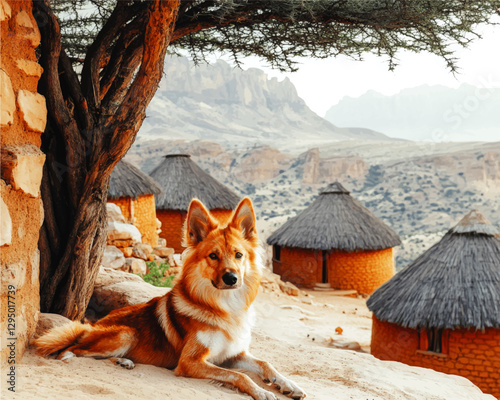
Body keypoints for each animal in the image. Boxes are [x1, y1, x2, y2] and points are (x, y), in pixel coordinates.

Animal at [33, 198, 306, 400]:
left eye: (238, 255)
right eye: (213, 256)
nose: (231, 278)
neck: (224, 307)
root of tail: (91, 325)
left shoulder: (233, 355)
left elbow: (265, 363)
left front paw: (288, 385)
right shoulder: (190, 362)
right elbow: (240, 376)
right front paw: (262, 391)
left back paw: (124, 361)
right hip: (126, 333)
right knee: (73, 349)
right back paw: (78, 357)